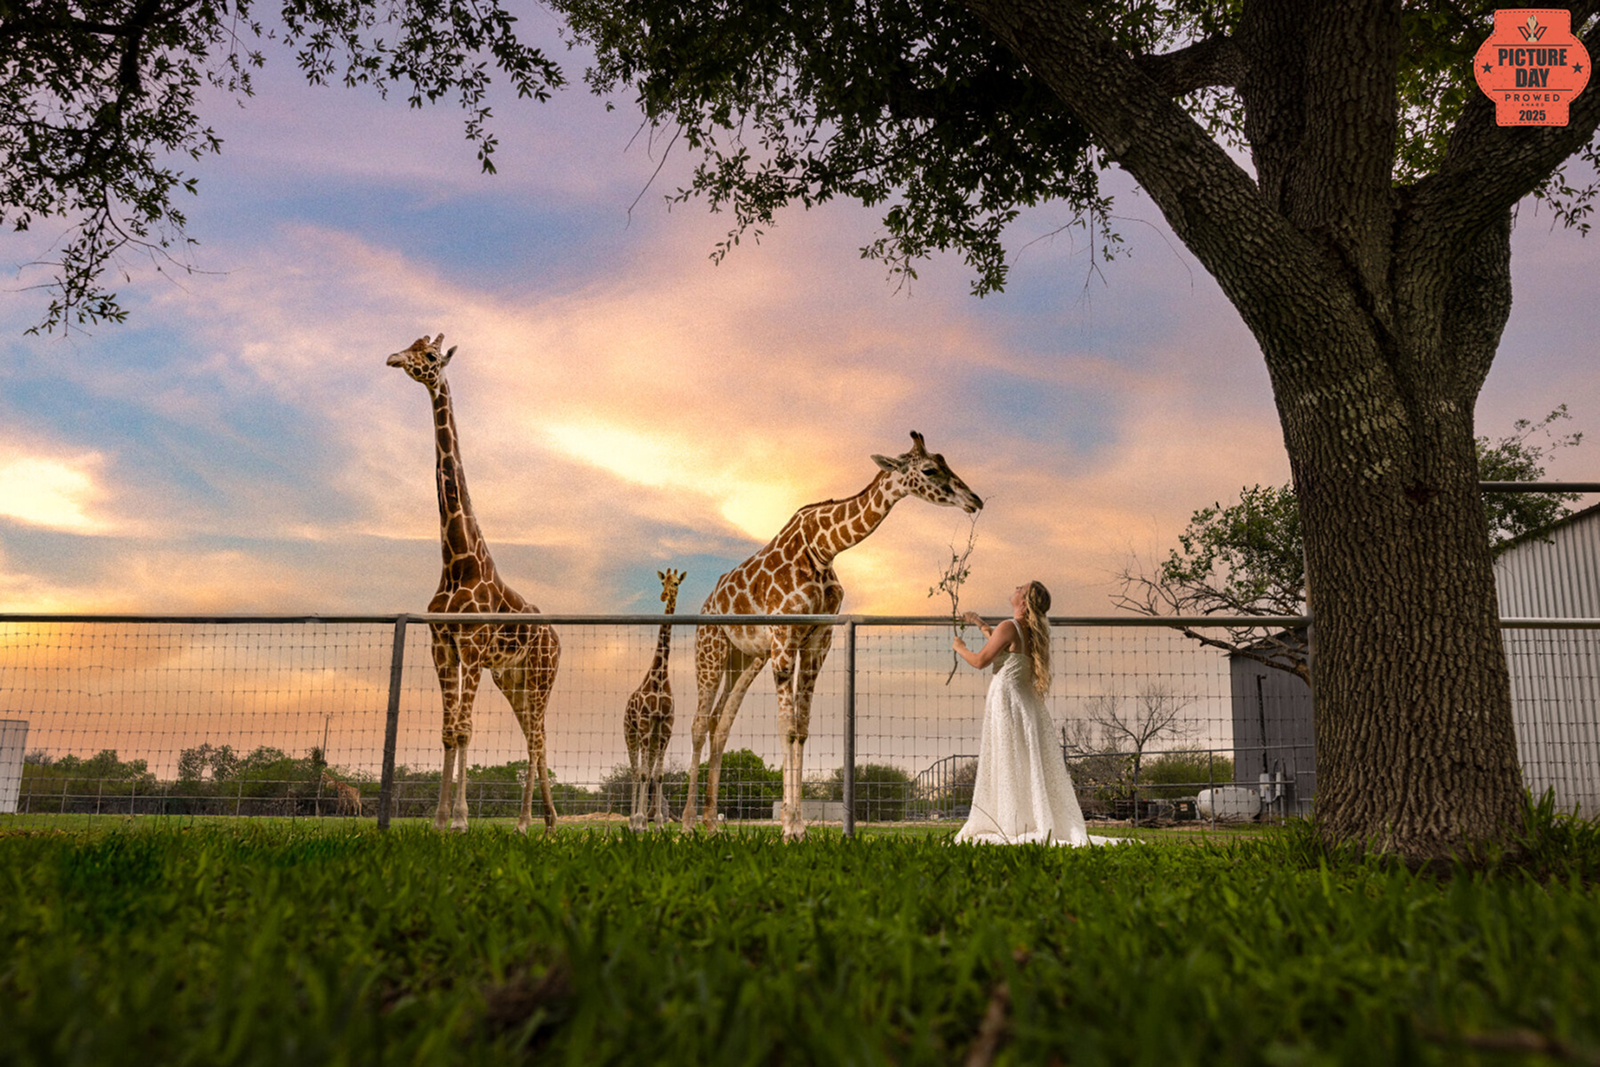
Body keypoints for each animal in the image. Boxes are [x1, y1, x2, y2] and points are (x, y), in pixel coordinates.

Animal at [387, 333, 562, 834]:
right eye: (408, 344)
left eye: (429, 356)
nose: (393, 359)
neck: (456, 562)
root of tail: (557, 637)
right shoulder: (443, 646)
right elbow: (450, 733)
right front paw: (439, 820)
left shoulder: (473, 647)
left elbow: (464, 730)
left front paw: (462, 821)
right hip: (513, 680)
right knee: (534, 736)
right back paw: (545, 822)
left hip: (541, 676)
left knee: (536, 738)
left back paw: (529, 823)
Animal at [684, 431, 982, 840]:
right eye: (928, 469)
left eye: (944, 461)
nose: (975, 501)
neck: (823, 548)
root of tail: (708, 603)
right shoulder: (784, 637)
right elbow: (786, 726)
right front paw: (790, 828)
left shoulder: (817, 639)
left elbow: (801, 728)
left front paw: (798, 826)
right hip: (711, 648)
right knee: (699, 725)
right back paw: (684, 824)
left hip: (744, 659)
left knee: (720, 725)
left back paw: (712, 825)